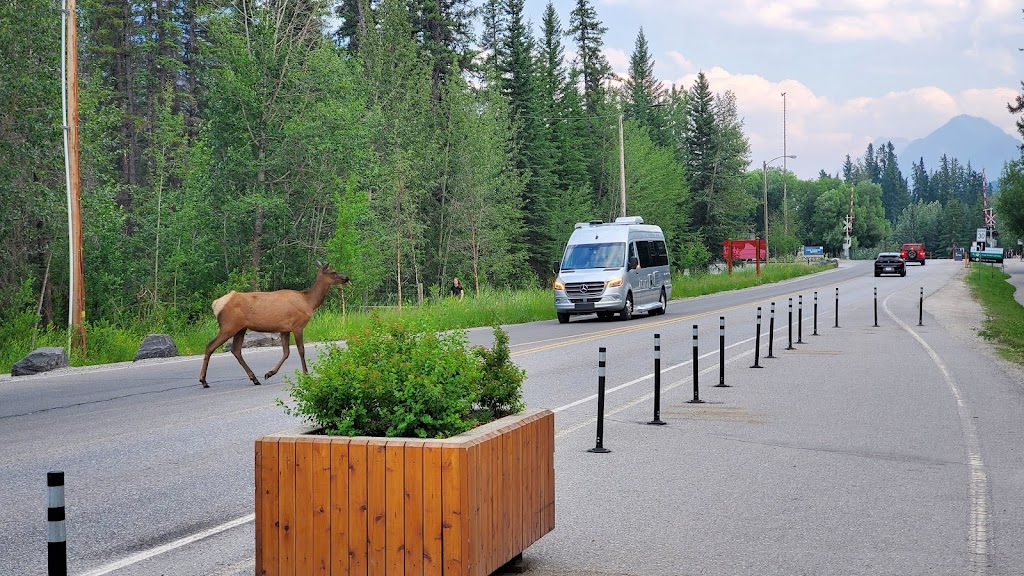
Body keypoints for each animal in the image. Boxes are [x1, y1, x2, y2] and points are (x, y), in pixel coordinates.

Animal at [197, 262, 350, 387]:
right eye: (333, 272)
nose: (347, 277)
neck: (309, 302)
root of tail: (216, 304)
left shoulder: (285, 329)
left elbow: (286, 352)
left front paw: (269, 373)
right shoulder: (297, 326)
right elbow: (300, 350)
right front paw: (306, 374)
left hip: (240, 328)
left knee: (235, 350)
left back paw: (254, 378)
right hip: (229, 326)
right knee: (210, 345)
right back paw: (203, 381)